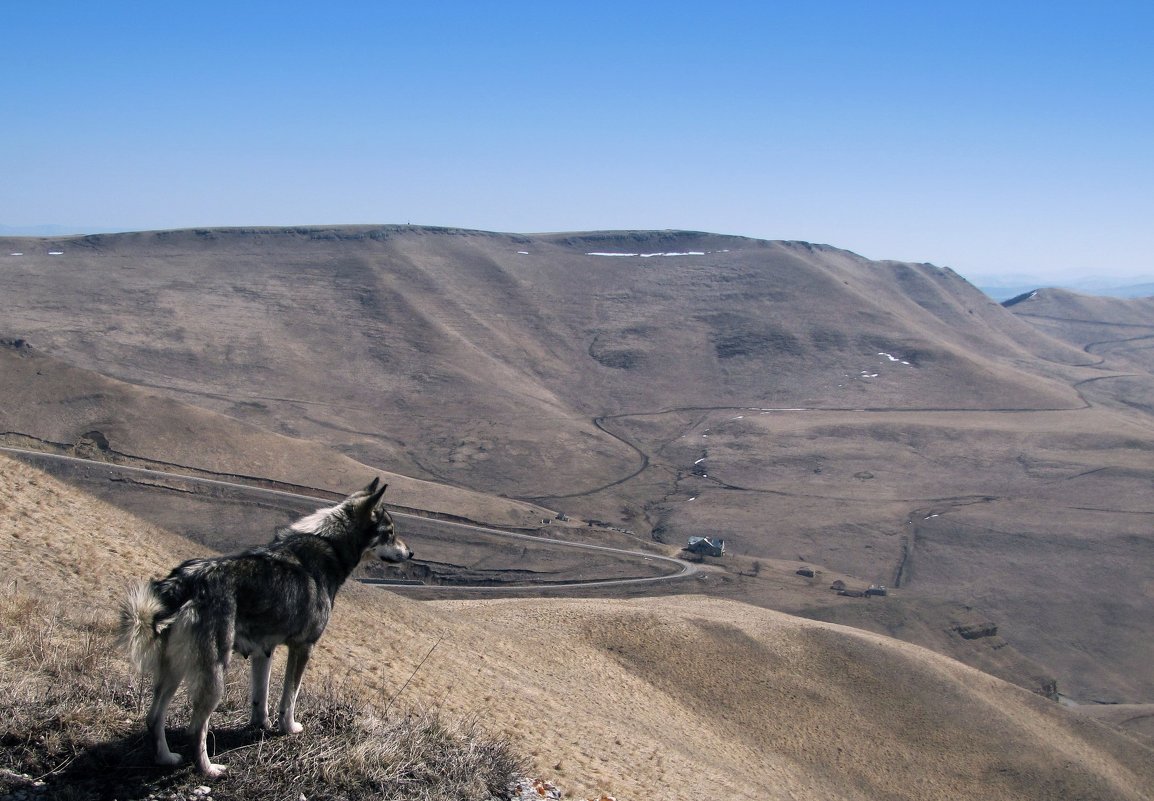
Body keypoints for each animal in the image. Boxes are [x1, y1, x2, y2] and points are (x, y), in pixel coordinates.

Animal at [120, 480, 410, 775]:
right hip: (214, 672)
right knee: (195, 728)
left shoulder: (263, 651)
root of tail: (182, 582)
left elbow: (261, 697)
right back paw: (209, 769)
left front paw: (261, 726)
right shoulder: (303, 647)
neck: (330, 544)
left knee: (153, 717)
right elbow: (290, 697)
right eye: (390, 533)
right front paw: (289, 728)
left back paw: (166, 758)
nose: (410, 553)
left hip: (175, 667)